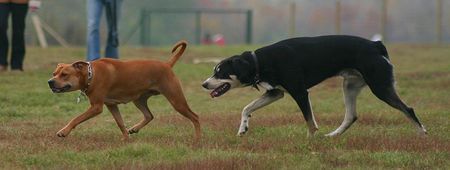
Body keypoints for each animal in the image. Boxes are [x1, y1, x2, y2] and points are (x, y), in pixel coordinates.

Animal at [47, 40, 200, 141]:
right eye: (54, 73)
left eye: (64, 74)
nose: (50, 82)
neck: (91, 74)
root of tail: (167, 65)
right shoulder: (111, 105)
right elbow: (120, 123)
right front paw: (126, 138)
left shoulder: (96, 107)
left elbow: (76, 118)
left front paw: (64, 131)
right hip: (139, 100)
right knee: (149, 115)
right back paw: (135, 128)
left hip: (176, 99)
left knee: (195, 117)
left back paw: (197, 139)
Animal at [202, 34, 428, 137]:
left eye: (219, 72)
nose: (204, 84)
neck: (260, 61)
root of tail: (376, 45)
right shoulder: (276, 93)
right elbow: (246, 108)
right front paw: (243, 127)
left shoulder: (300, 92)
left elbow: (310, 121)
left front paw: (310, 141)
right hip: (350, 86)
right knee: (351, 116)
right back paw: (333, 135)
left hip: (380, 86)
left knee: (408, 109)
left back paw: (422, 133)